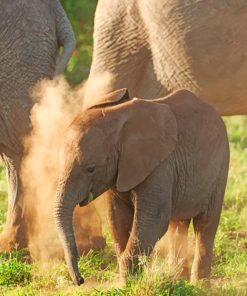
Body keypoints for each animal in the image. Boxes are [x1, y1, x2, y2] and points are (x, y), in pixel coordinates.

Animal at [54, 88, 230, 284]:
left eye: (90, 169)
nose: (80, 280)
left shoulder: (160, 166)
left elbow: (152, 220)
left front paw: (126, 285)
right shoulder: (120, 169)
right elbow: (117, 219)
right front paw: (126, 283)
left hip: (220, 168)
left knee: (205, 224)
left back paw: (199, 285)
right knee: (178, 224)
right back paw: (178, 279)